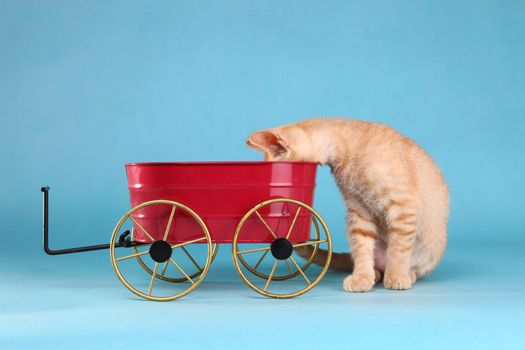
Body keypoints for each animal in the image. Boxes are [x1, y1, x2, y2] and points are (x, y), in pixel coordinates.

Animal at [245, 119, 446, 292]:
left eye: (280, 173)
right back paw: (374, 273)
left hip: (429, 252)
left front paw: (396, 275)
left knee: (415, 265)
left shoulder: (402, 207)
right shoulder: (359, 211)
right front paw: (362, 276)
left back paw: (406, 273)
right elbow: (362, 246)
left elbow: (399, 246)